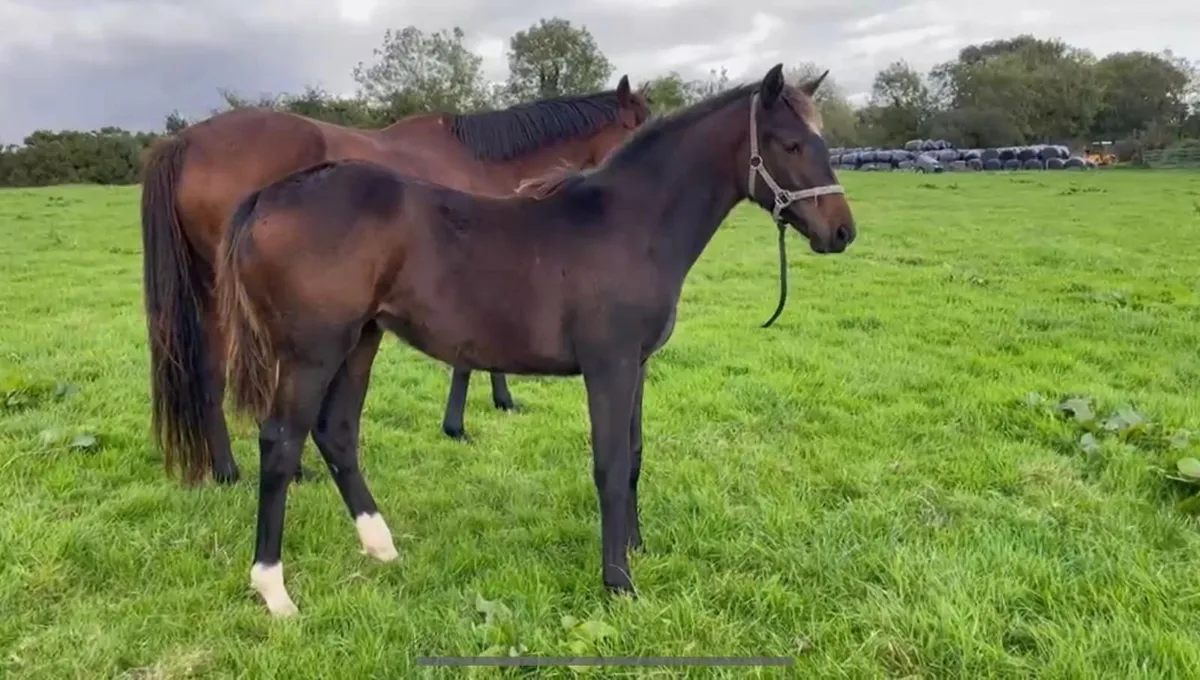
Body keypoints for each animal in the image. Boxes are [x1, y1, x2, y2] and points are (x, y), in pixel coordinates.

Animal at [142, 77, 653, 487]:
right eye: (639, 129)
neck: (482, 161)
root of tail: (183, 141)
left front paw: (499, 401)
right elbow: (466, 359)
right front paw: (459, 423)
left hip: (211, 290)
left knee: (209, 373)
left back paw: (228, 470)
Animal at [206, 63, 855, 616]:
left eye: (824, 141)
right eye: (791, 144)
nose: (843, 232)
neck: (630, 225)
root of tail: (269, 197)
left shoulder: (637, 365)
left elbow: (634, 456)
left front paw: (637, 549)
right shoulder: (609, 366)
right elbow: (609, 465)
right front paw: (618, 582)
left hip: (361, 340)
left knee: (336, 432)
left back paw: (382, 547)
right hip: (311, 352)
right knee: (281, 443)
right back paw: (274, 590)